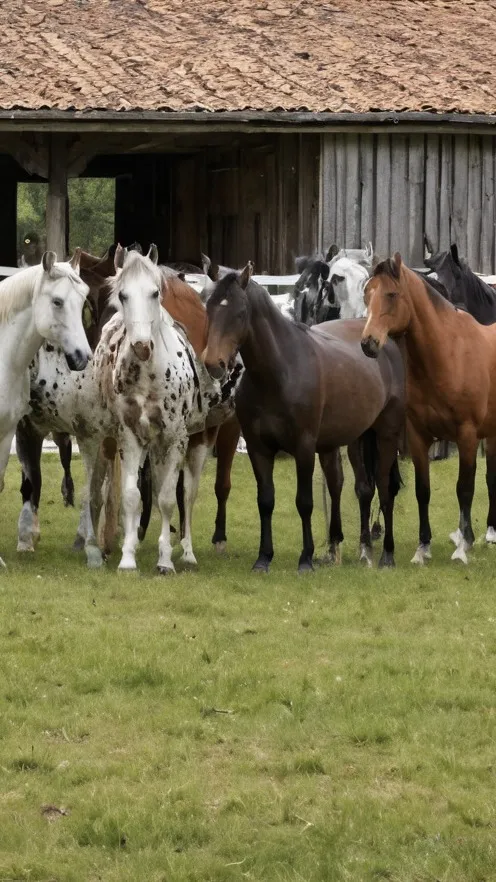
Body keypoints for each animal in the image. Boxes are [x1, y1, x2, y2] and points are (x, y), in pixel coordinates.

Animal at [203, 262, 405, 573]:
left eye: (239, 312)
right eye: (208, 307)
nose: (214, 364)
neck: (279, 372)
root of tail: (381, 343)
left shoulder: (304, 447)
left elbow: (305, 502)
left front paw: (305, 559)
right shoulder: (259, 448)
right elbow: (266, 500)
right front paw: (264, 558)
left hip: (385, 436)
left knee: (383, 487)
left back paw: (386, 555)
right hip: (352, 438)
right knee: (355, 487)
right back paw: (353, 550)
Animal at [361, 253, 496, 565]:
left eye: (391, 294)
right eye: (366, 293)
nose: (368, 342)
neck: (448, 354)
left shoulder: (467, 436)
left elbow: (464, 489)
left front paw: (463, 547)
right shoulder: (418, 437)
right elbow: (423, 490)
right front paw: (423, 548)